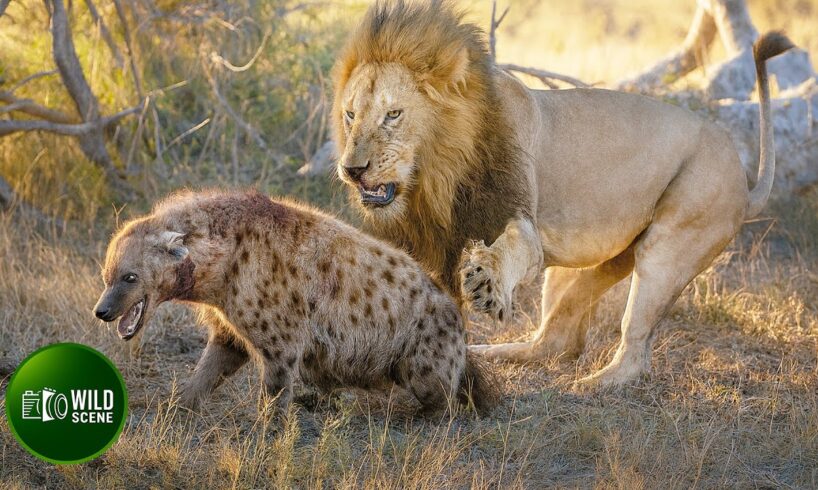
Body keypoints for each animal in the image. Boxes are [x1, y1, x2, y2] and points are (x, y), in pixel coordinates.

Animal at [93, 190, 498, 413]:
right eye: (107, 277)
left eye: (130, 277)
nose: (102, 311)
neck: (223, 264)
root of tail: (458, 316)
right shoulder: (230, 329)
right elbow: (208, 370)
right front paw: (176, 407)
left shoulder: (281, 340)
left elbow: (274, 392)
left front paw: (267, 436)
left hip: (426, 357)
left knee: (441, 399)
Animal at [331, 0, 793, 388]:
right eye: (350, 115)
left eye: (393, 115)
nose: (353, 170)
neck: (435, 179)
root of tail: (744, 182)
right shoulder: (430, 241)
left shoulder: (517, 219)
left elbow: (509, 250)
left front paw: (486, 283)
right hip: (587, 264)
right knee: (555, 340)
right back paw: (497, 352)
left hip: (668, 247)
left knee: (634, 350)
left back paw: (591, 386)